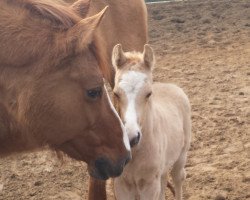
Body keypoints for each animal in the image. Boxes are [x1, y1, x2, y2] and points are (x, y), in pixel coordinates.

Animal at [112, 44, 191, 200]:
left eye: (148, 93)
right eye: (116, 94)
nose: (131, 137)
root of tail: (173, 87)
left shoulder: (149, 185)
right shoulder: (121, 185)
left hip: (181, 154)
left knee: (178, 177)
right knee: (164, 179)